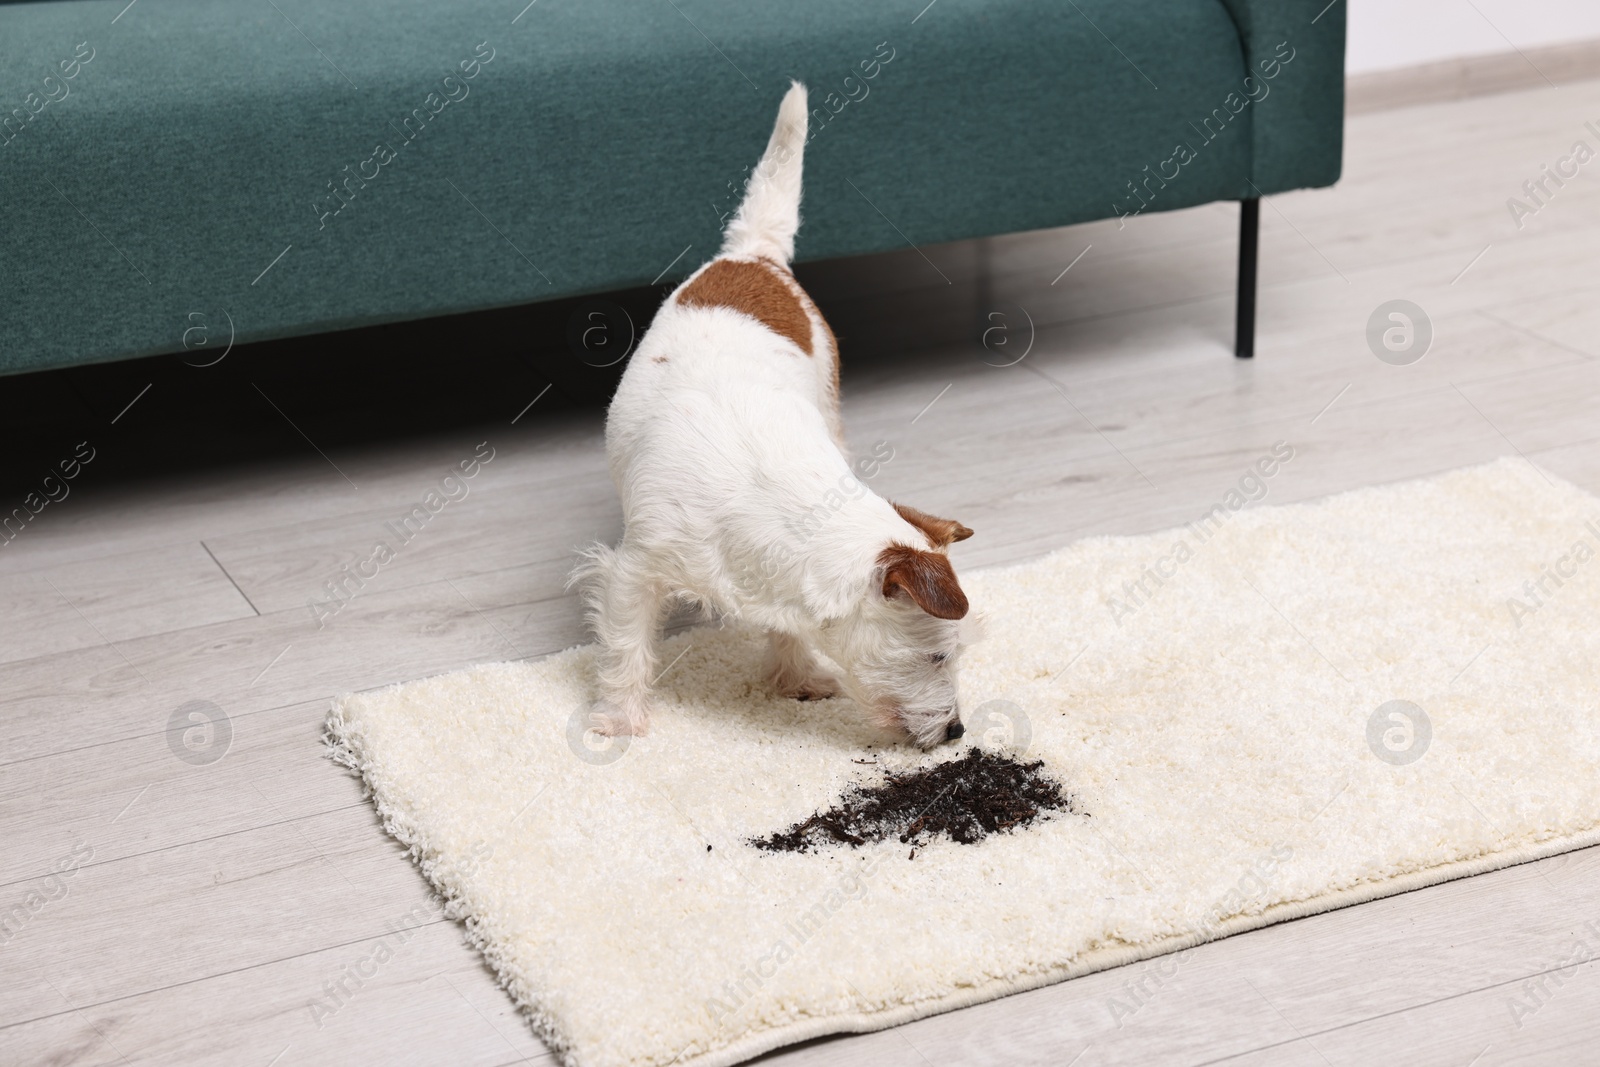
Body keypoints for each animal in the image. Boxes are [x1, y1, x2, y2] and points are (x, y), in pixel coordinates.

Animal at [576, 83, 972, 751]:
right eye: (940, 657)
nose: (956, 731)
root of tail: (755, 257)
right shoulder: (635, 572)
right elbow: (627, 644)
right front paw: (620, 719)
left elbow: (788, 628)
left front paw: (793, 676)